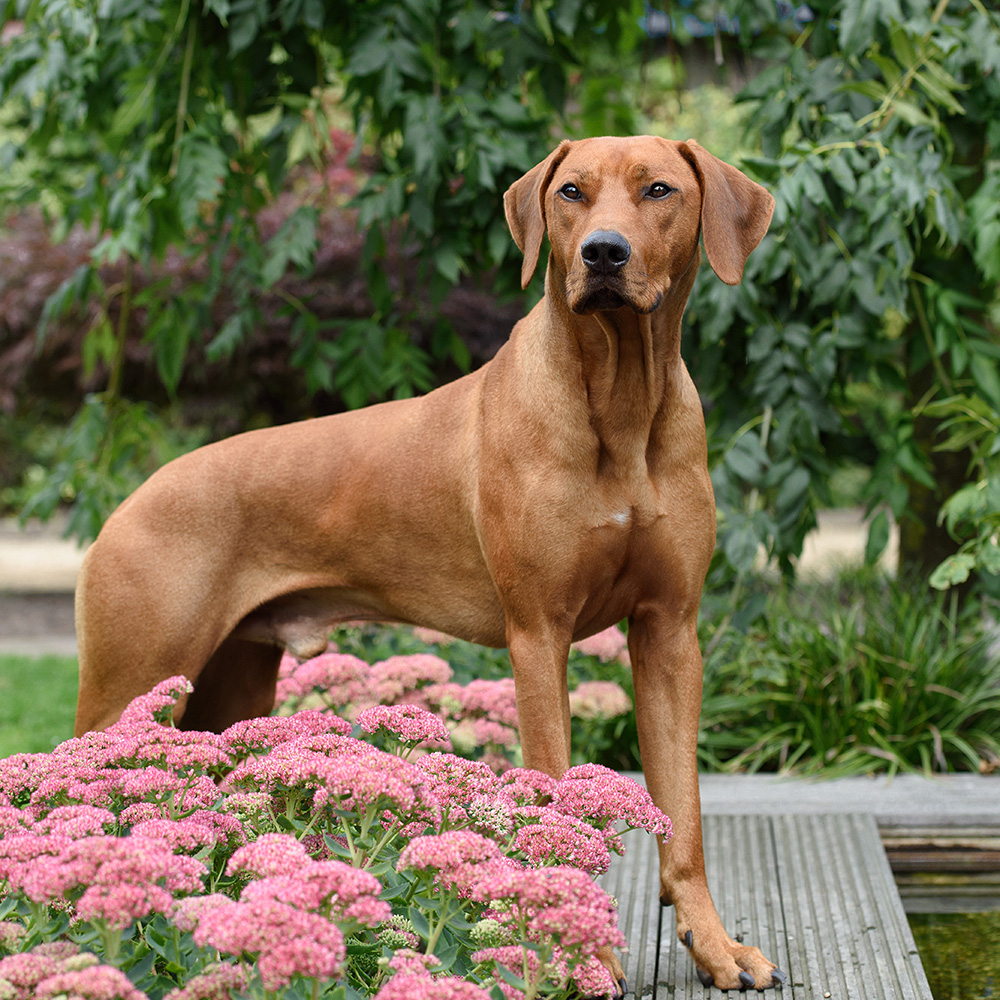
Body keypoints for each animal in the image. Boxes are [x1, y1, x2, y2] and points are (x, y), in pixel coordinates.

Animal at [76, 137, 780, 988]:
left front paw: (712, 943)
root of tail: (124, 504)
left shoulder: (670, 633)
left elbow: (686, 817)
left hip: (226, 693)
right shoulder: (537, 635)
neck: (620, 400)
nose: (603, 254)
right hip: (131, 685)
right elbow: (555, 795)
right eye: (571, 192)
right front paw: (582, 953)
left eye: (659, 190)